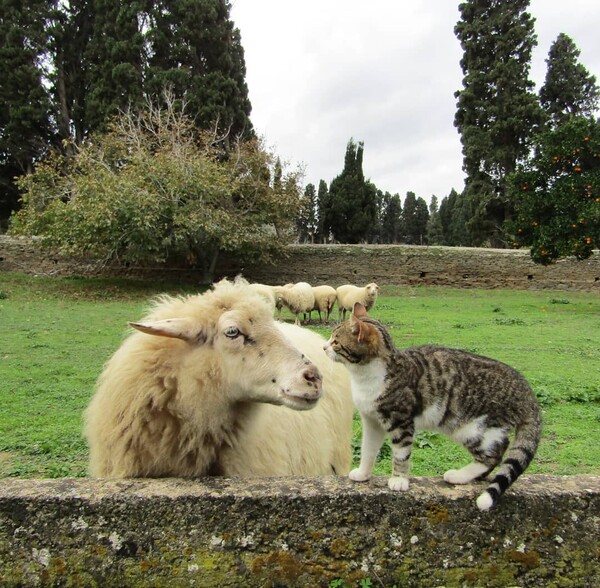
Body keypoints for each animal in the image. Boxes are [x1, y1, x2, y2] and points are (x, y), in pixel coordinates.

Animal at [326, 304, 540, 510]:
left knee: (494, 454)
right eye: (330, 338)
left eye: (335, 341)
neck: (365, 376)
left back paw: (460, 475)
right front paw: (363, 473)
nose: (323, 347)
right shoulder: (372, 420)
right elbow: (368, 449)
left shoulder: (401, 421)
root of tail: (525, 389)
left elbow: (401, 454)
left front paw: (399, 480)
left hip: (472, 427)